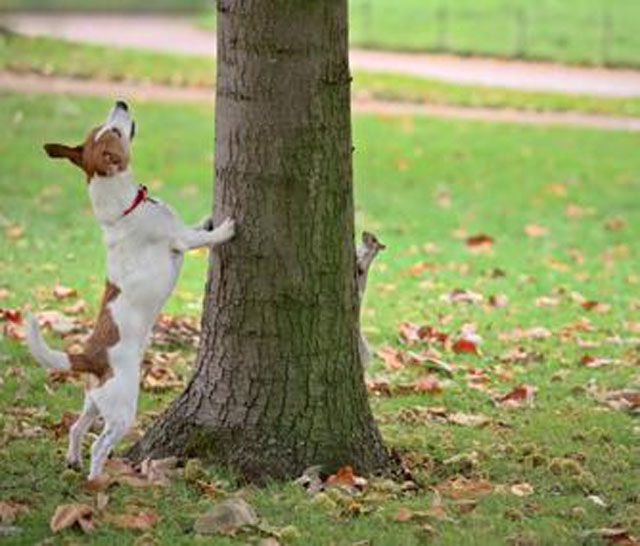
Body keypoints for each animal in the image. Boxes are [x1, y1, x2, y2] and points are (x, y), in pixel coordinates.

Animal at [25, 100, 235, 478]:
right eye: (115, 131)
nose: (121, 101)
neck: (124, 209)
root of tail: (89, 357)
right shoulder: (180, 240)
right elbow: (200, 237)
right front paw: (224, 228)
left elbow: (195, 225)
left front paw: (208, 219)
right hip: (122, 410)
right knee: (99, 444)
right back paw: (96, 479)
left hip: (94, 401)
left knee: (77, 427)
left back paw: (73, 459)